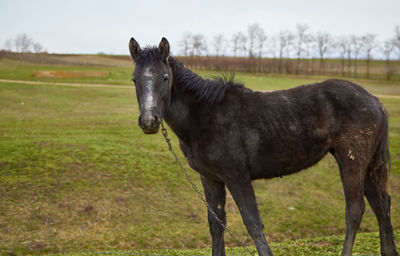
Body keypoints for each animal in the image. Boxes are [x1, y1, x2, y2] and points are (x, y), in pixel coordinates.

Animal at [128, 36, 396, 256]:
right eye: (134, 79)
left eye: (164, 77)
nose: (149, 122)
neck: (204, 116)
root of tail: (375, 101)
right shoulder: (210, 178)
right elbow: (216, 223)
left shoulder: (236, 175)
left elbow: (252, 222)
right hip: (367, 165)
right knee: (381, 203)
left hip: (351, 162)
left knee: (355, 210)